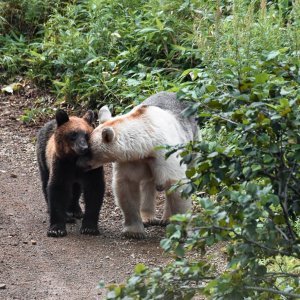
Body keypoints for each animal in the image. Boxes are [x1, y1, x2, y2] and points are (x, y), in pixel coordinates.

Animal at [36, 109, 105, 238]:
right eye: (73, 134)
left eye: (86, 135)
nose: (84, 147)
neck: (75, 161)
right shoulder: (61, 164)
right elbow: (58, 189)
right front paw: (56, 229)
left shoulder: (92, 169)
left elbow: (94, 190)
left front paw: (89, 227)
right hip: (43, 159)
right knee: (45, 182)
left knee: (76, 189)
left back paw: (75, 210)